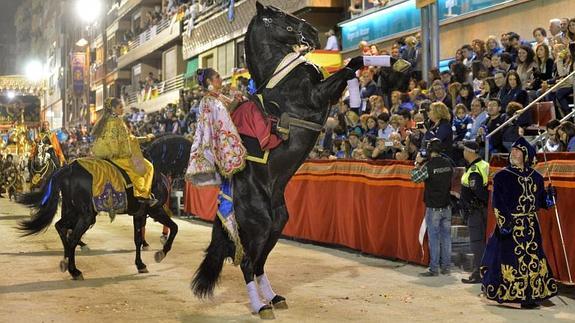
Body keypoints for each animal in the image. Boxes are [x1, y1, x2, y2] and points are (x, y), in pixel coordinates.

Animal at [17, 135, 194, 280]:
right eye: (190, 154)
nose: (186, 181)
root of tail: (68, 168)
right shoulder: (154, 209)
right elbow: (174, 228)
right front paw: (161, 253)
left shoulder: (139, 213)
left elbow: (138, 239)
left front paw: (141, 264)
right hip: (86, 215)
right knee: (72, 236)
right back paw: (75, 270)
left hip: (73, 210)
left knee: (61, 228)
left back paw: (66, 261)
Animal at [191, 2, 374, 320]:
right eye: (277, 15)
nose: (312, 31)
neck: (281, 77)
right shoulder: (316, 96)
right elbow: (350, 64)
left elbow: (348, 71)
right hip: (260, 224)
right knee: (247, 263)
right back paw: (261, 305)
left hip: (278, 222)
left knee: (259, 263)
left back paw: (274, 298)